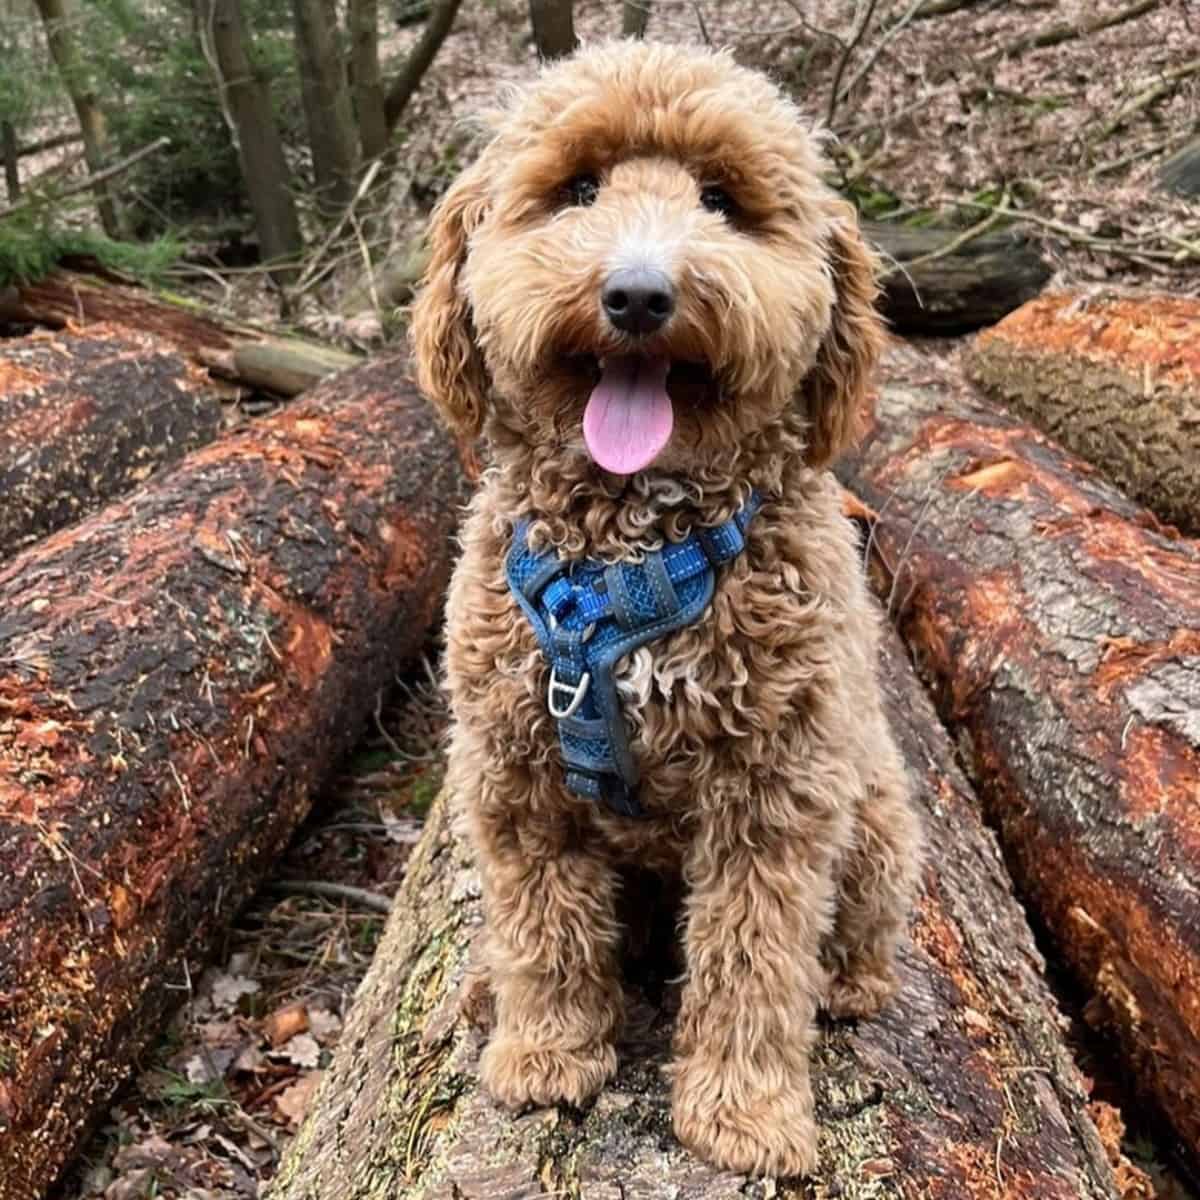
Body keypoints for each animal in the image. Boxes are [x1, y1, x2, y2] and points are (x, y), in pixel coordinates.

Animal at [408, 39, 921, 1180]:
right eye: (578, 189)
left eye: (723, 201)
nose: (639, 294)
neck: (631, 554)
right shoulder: (515, 776)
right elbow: (543, 929)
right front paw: (546, 1052)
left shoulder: (775, 794)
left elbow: (751, 961)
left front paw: (746, 1113)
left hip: (871, 814)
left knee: (858, 927)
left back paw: (851, 985)